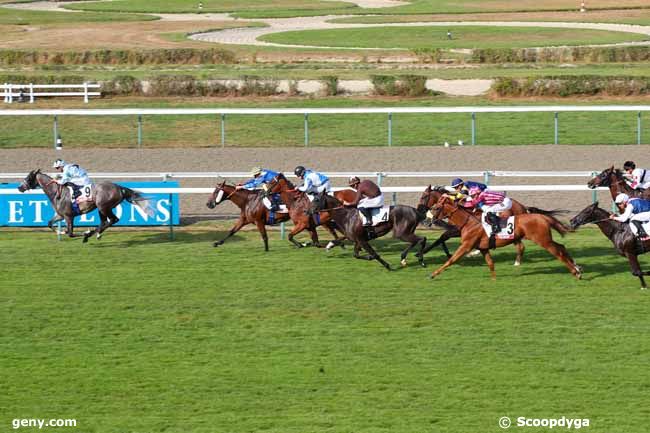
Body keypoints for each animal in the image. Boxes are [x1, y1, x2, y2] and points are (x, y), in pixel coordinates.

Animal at [17, 169, 151, 243]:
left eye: (28, 177)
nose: (19, 187)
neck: (56, 192)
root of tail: (120, 188)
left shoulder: (69, 216)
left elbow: (71, 233)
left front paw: (83, 233)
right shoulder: (60, 215)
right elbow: (50, 224)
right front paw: (61, 232)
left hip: (103, 207)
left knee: (113, 220)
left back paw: (89, 234)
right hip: (102, 208)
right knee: (105, 222)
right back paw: (97, 234)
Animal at [418, 184, 564, 264]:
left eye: (424, 196)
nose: (419, 210)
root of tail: (523, 207)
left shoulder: (457, 230)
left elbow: (442, 237)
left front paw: (421, 253)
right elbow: (442, 237)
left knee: (520, 246)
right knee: (520, 246)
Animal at [428, 195, 580, 280]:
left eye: (436, 208)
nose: (429, 220)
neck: (469, 222)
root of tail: (542, 217)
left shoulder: (466, 246)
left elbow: (451, 260)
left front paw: (433, 274)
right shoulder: (483, 248)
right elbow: (490, 263)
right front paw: (494, 280)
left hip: (543, 240)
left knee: (558, 252)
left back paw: (575, 272)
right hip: (545, 239)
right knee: (561, 246)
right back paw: (577, 267)